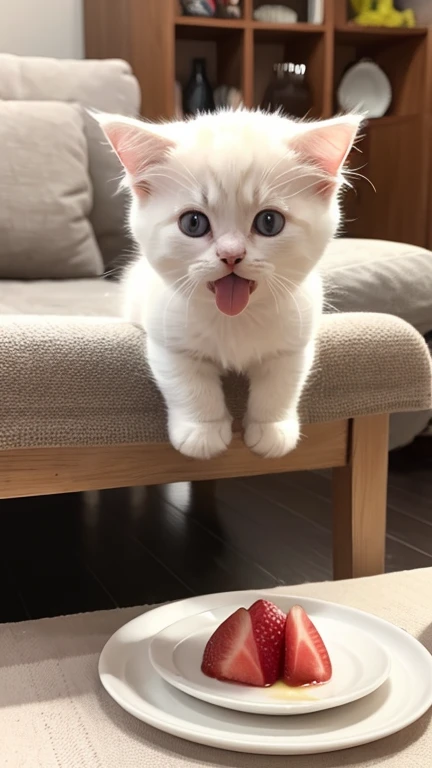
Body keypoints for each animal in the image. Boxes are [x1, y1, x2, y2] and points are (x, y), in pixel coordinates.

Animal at [98, 110, 362, 460]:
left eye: (269, 222)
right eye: (193, 223)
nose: (231, 254)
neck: (236, 319)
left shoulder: (296, 339)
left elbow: (281, 383)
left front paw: (271, 429)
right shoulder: (167, 334)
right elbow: (188, 382)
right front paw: (203, 432)